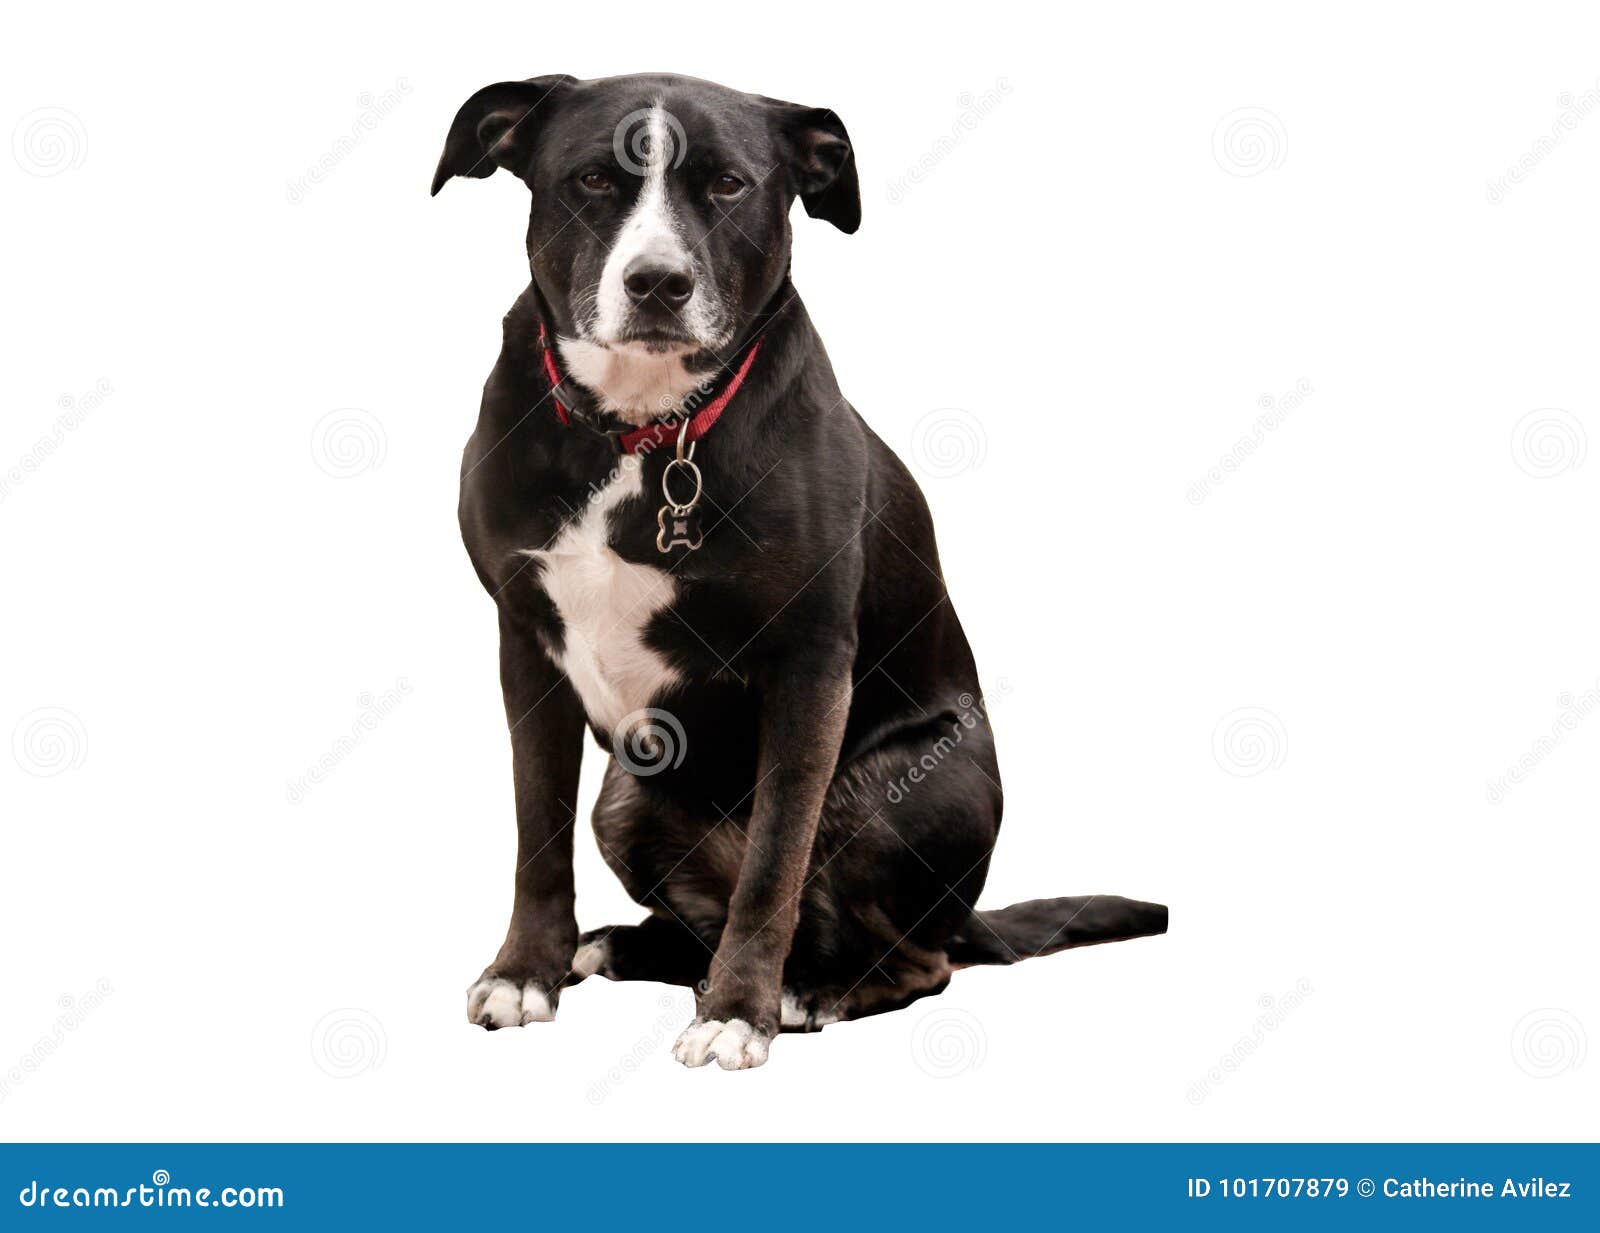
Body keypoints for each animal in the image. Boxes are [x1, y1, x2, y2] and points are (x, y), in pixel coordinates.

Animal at [435, 72, 1164, 1068]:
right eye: (591, 179)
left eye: (730, 185)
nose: (658, 281)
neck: (648, 429)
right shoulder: (526, 640)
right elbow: (536, 832)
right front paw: (525, 971)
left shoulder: (808, 666)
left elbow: (775, 858)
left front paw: (739, 1012)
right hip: (626, 797)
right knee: (705, 913)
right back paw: (627, 948)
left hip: (897, 791)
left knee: (910, 956)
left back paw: (807, 989)